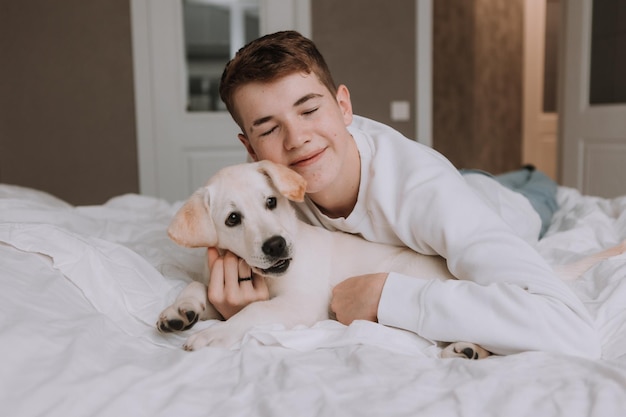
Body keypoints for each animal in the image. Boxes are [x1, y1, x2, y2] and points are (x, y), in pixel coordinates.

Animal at [157, 161, 624, 356]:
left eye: (271, 202)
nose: (275, 246)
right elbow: (198, 285)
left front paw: (214, 337)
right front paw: (179, 311)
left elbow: (250, 315)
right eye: (233, 219)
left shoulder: (299, 304)